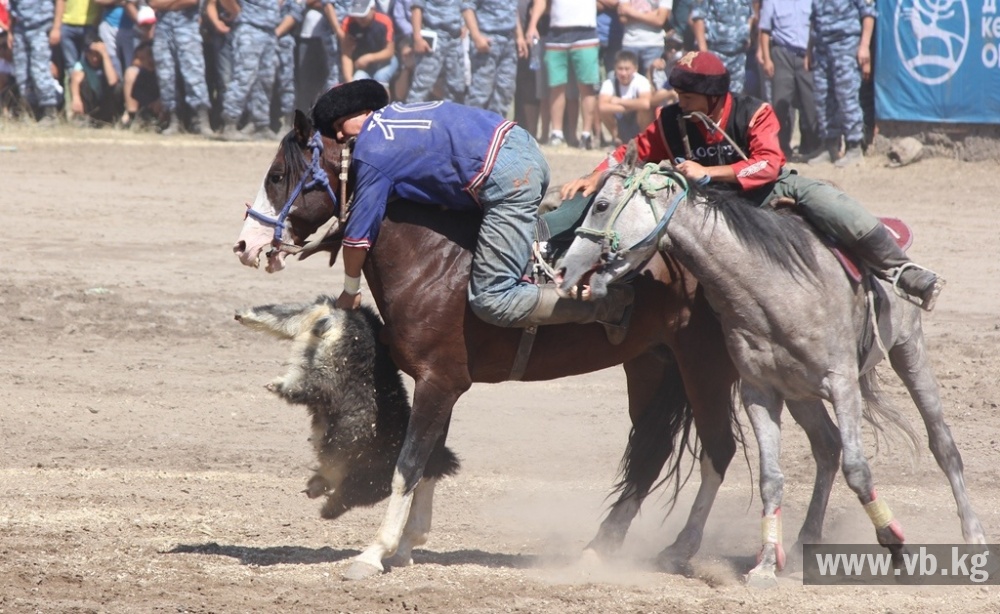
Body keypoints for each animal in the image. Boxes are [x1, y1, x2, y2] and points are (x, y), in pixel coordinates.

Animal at [230, 112, 740, 584]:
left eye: (278, 175)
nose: (245, 244)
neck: (433, 261)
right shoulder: (442, 382)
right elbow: (431, 459)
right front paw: (407, 544)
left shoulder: (438, 382)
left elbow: (409, 463)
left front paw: (375, 551)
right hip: (651, 364)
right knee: (650, 455)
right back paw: (599, 549)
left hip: (706, 366)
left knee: (718, 449)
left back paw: (679, 551)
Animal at [560, 148, 988, 588]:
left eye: (601, 205)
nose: (565, 269)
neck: (774, 288)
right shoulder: (760, 392)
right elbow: (772, 478)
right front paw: (765, 563)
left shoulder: (842, 384)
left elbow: (858, 469)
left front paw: (896, 544)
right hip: (800, 395)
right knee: (827, 448)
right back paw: (802, 545)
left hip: (908, 349)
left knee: (942, 444)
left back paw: (972, 537)